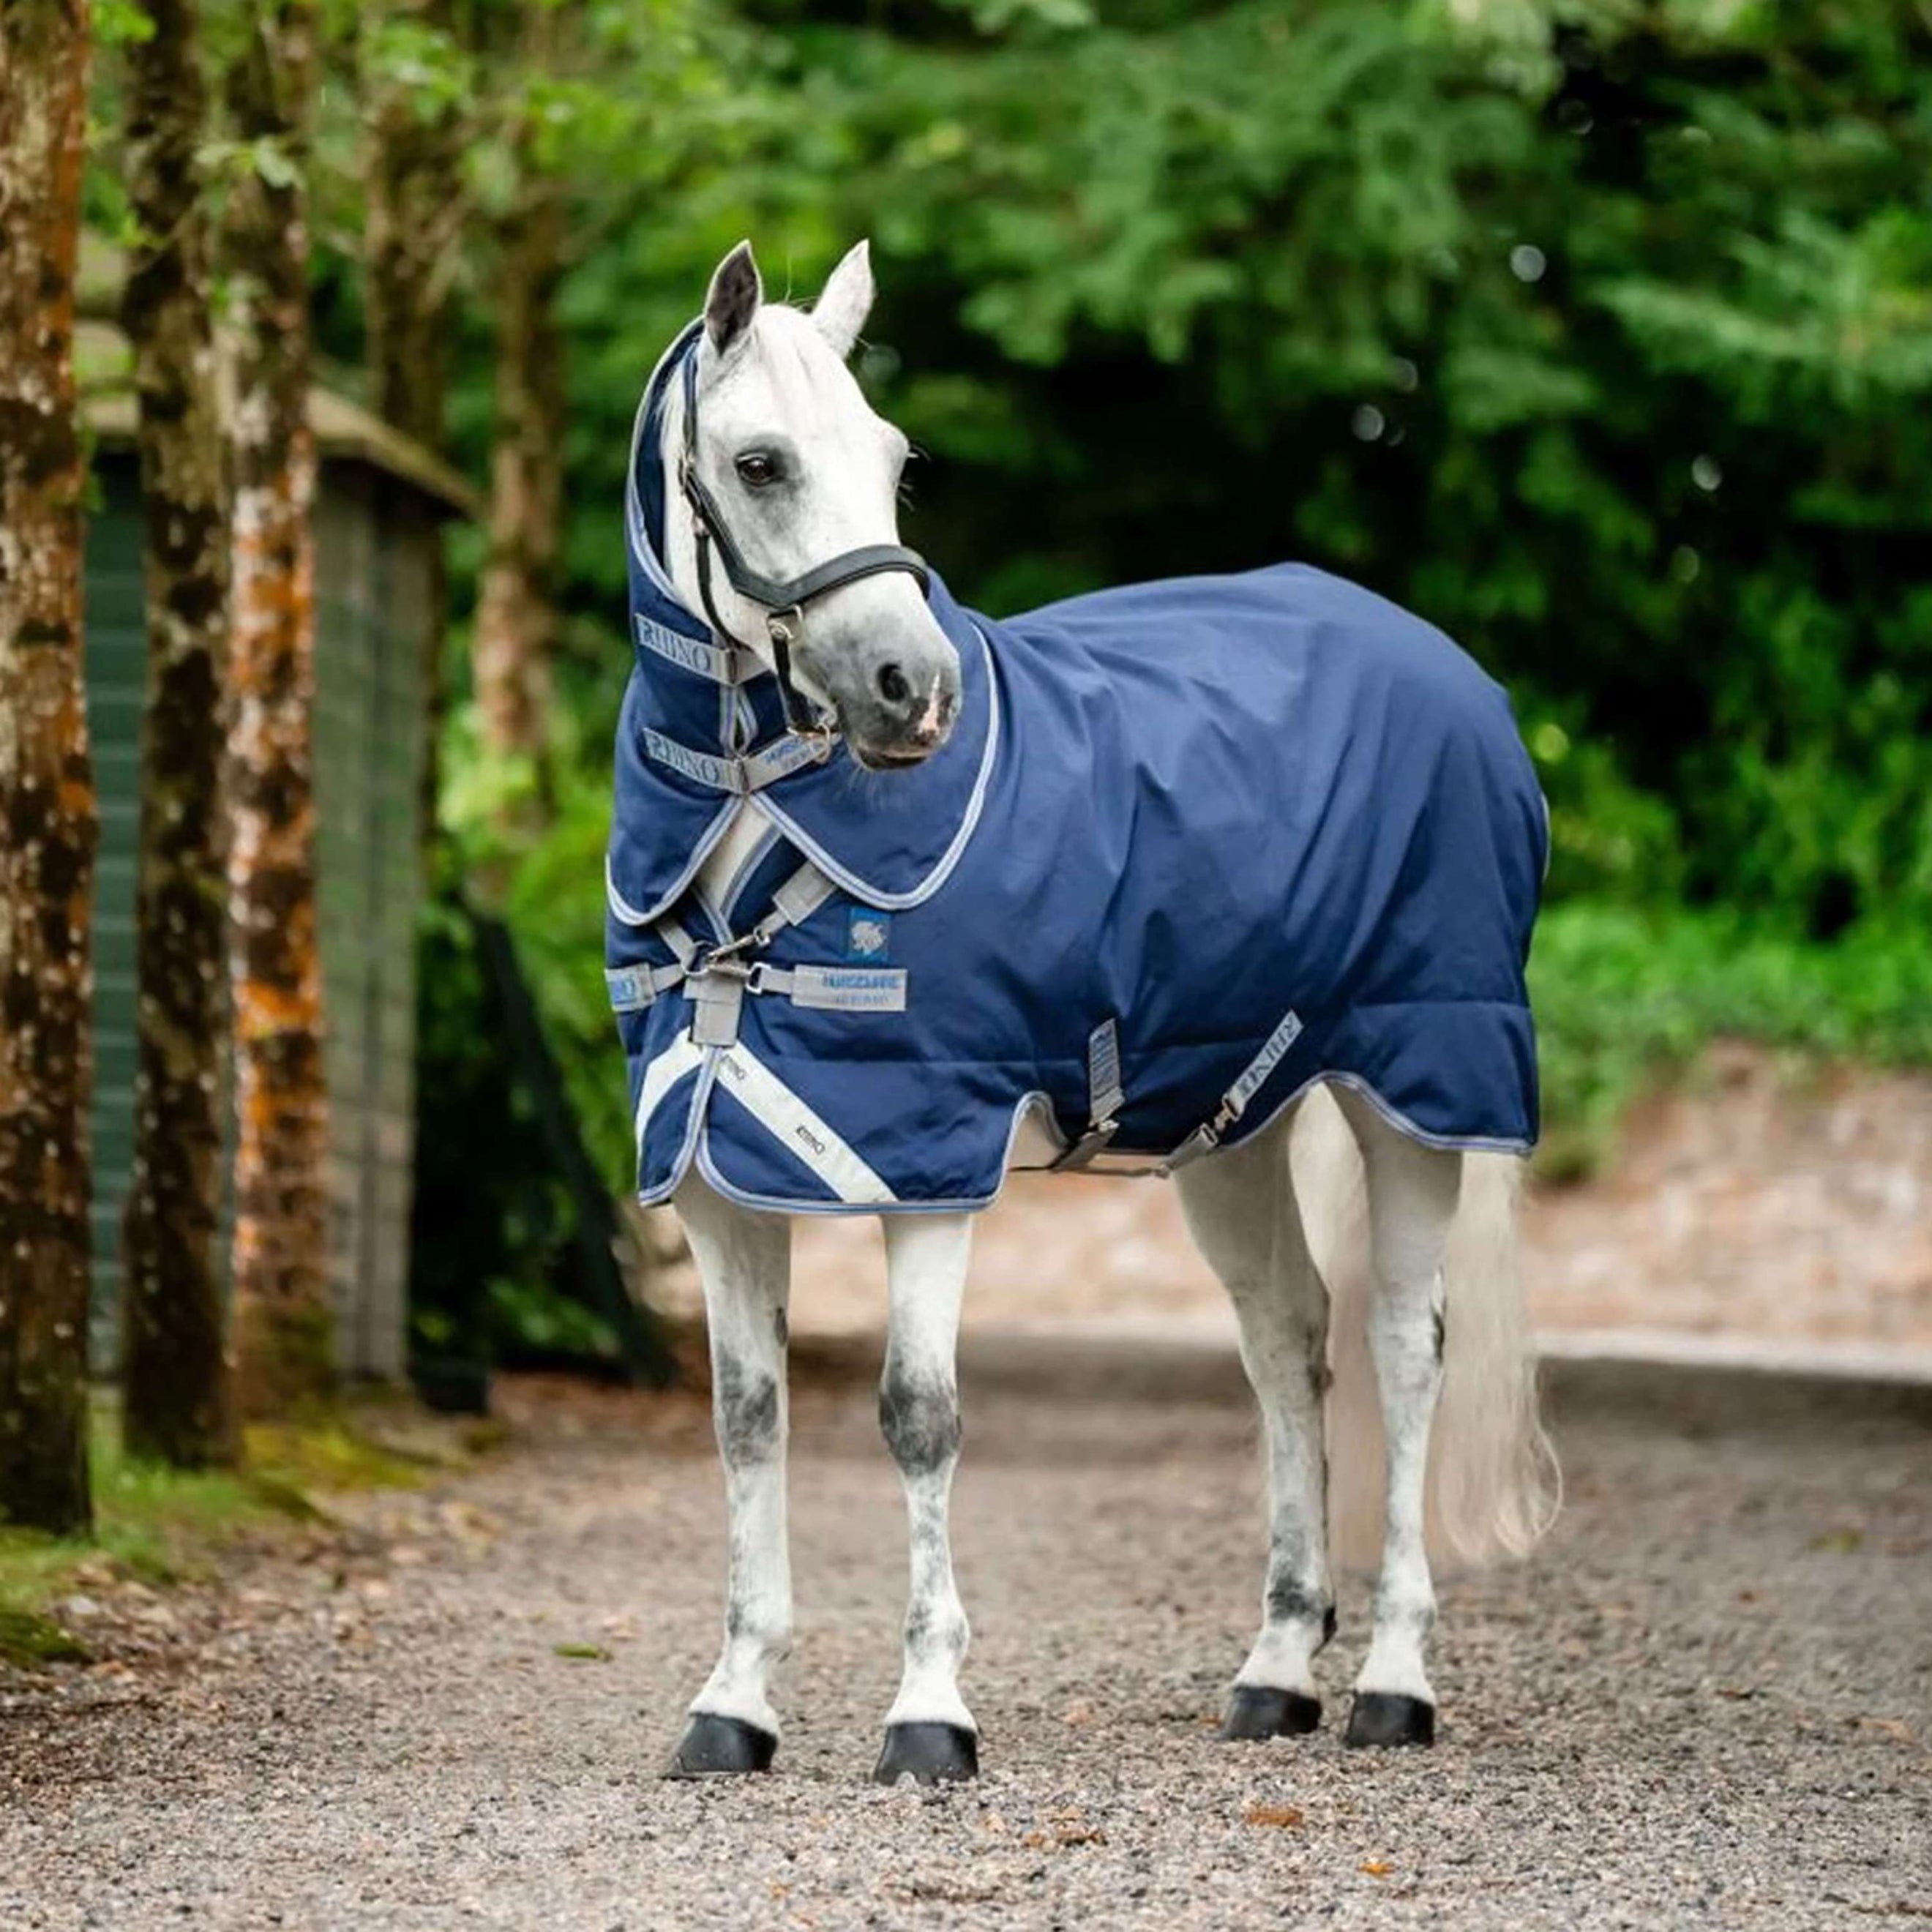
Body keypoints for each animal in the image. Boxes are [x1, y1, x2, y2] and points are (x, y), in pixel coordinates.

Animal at [606, 238, 1558, 1785]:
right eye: (759, 463)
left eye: (892, 458)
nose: (912, 693)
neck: (761, 824)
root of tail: (1455, 675)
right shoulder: (710, 1176)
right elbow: (748, 1423)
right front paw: (734, 1703)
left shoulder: (928, 1159)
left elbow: (917, 1417)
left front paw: (929, 1713)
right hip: (1237, 1127)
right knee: (1287, 1345)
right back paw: (1276, 1671)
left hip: (1420, 1088)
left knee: (1406, 1351)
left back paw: (1393, 1684)